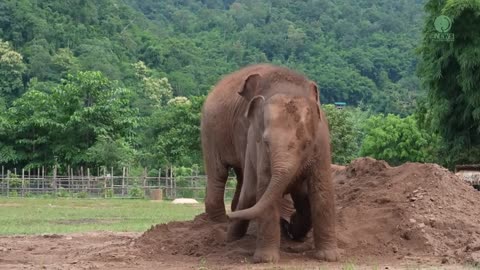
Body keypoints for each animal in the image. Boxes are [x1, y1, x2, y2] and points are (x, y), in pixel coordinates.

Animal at [224, 68, 338, 264]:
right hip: (249, 154)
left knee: (303, 201)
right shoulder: (260, 150)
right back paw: (231, 240)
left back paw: (294, 230)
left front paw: (329, 257)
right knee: (250, 195)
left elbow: (322, 188)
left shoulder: (322, 143)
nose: (225, 215)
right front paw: (265, 259)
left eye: (307, 144)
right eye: (266, 143)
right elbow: (264, 187)